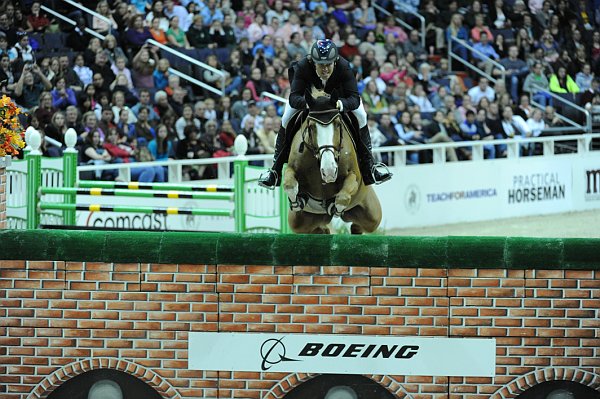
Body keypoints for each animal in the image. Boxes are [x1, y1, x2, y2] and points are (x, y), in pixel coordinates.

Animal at [280, 88, 382, 234]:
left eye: (338, 125)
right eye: (311, 127)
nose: (329, 171)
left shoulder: (354, 177)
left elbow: (343, 197)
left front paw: (333, 207)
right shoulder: (291, 168)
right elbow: (289, 184)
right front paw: (297, 201)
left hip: (372, 216)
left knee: (361, 224)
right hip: (299, 222)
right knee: (316, 229)